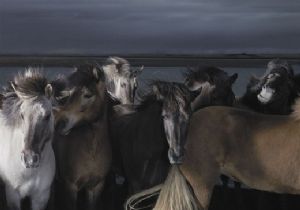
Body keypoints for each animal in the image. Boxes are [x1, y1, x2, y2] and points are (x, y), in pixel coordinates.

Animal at [0, 69, 55, 210]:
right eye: (21, 115)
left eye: (48, 115)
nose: (29, 159)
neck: (29, 172)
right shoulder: (12, 195)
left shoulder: (41, 198)